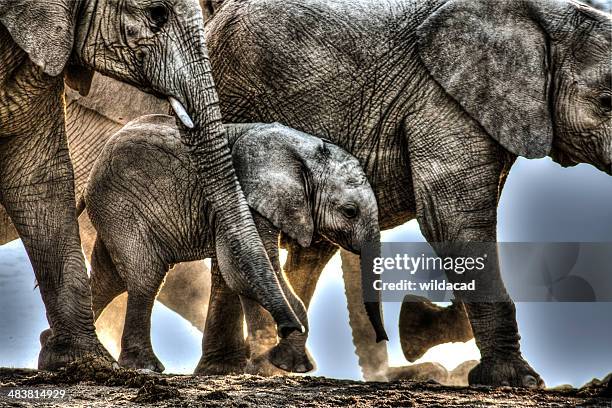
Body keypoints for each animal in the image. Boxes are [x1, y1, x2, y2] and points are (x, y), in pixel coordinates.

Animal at [82, 115, 378, 372]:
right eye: (350, 211)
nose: (287, 328)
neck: (302, 151)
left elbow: (248, 273)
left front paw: (288, 364)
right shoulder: (245, 198)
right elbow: (247, 268)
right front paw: (282, 358)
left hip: (113, 210)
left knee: (109, 279)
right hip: (122, 205)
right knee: (146, 276)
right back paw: (145, 366)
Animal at [201, 0, 612, 386]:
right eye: (606, 101)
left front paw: (420, 327)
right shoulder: (441, 102)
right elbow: (454, 221)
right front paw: (517, 380)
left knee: (308, 249)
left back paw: (269, 366)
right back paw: (232, 368)